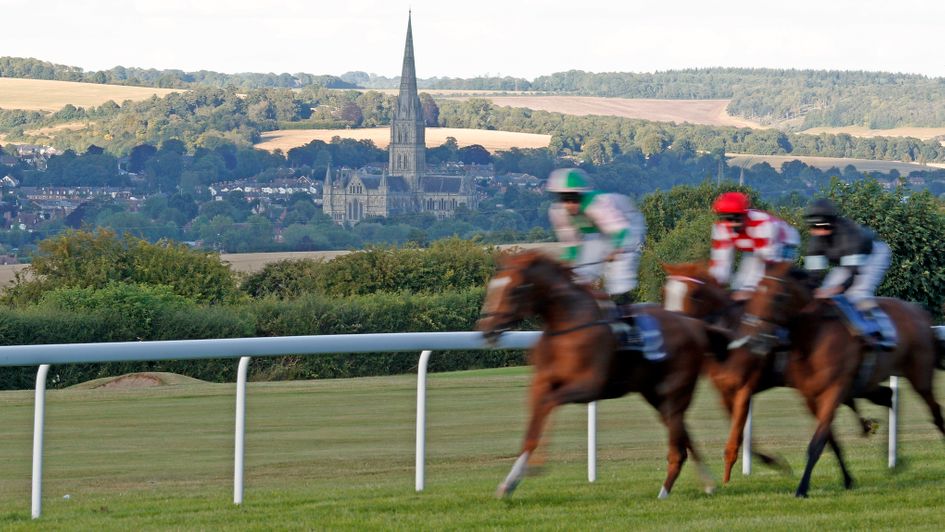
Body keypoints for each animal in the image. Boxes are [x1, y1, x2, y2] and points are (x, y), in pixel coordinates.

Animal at [480, 249, 716, 498]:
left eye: (514, 290)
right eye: (493, 286)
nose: (486, 328)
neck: (567, 324)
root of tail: (694, 326)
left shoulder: (589, 386)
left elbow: (549, 403)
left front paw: (536, 466)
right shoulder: (541, 383)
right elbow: (533, 427)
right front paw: (509, 483)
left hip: (675, 389)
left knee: (678, 439)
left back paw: (666, 490)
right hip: (654, 393)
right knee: (681, 432)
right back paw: (707, 483)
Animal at [660, 262, 888, 486]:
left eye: (694, 294)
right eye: (665, 292)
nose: (672, 327)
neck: (728, 339)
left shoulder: (744, 388)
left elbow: (736, 438)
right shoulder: (724, 393)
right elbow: (744, 437)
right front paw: (774, 462)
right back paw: (867, 433)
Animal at [732, 260, 945, 496]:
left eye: (778, 296)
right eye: (755, 292)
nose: (754, 339)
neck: (813, 335)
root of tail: (921, 313)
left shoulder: (835, 389)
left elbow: (817, 442)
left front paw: (802, 488)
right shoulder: (810, 396)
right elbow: (830, 440)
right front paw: (848, 479)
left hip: (919, 375)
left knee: (935, 412)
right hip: (868, 384)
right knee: (888, 395)